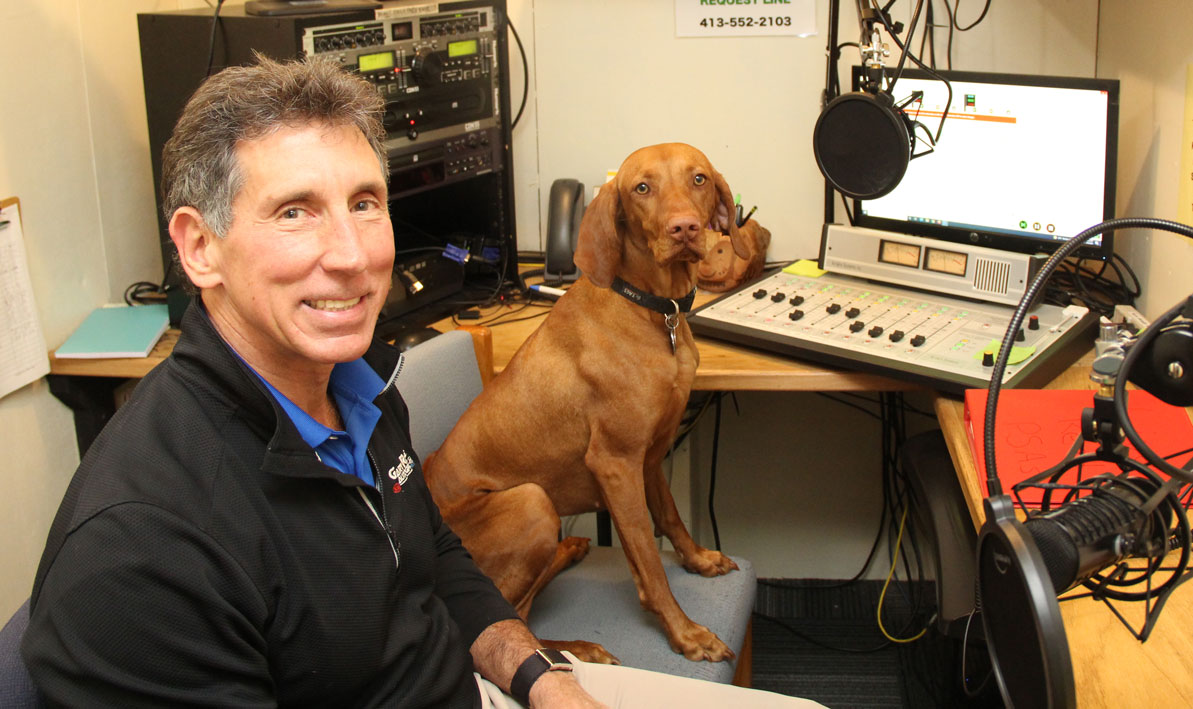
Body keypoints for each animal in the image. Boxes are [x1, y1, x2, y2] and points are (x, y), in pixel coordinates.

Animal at [424, 143, 749, 663]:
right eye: (642, 187)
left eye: (698, 179)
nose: (684, 228)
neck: (655, 310)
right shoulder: (615, 463)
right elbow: (648, 559)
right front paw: (685, 633)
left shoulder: (650, 455)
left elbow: (669, 517)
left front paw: (698, 559)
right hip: (533, 502)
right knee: (509, 623)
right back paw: (581, 649)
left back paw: (569, 553)